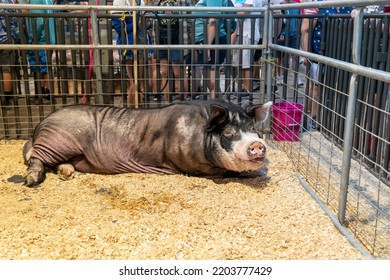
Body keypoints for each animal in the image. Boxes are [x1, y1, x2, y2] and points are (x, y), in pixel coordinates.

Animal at [22, 99, 272, 187]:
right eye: (229, 132)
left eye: (253, 129)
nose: (257, 145)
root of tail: (41, 124)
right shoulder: (193, 166)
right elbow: (228, 172)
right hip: (57, 140)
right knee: (35, 158)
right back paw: (31, 180)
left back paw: (66, 172)